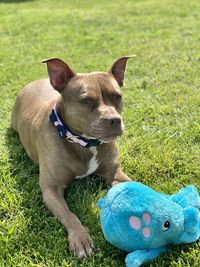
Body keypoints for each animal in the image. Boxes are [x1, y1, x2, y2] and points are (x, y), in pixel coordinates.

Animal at [10, 56, 133, 260]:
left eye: (117, 96)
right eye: (86, 100)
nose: (115, 120)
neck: (84, 143)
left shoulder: (115, 173)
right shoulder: (51, 190)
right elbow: (70, 215)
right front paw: (81, 239)